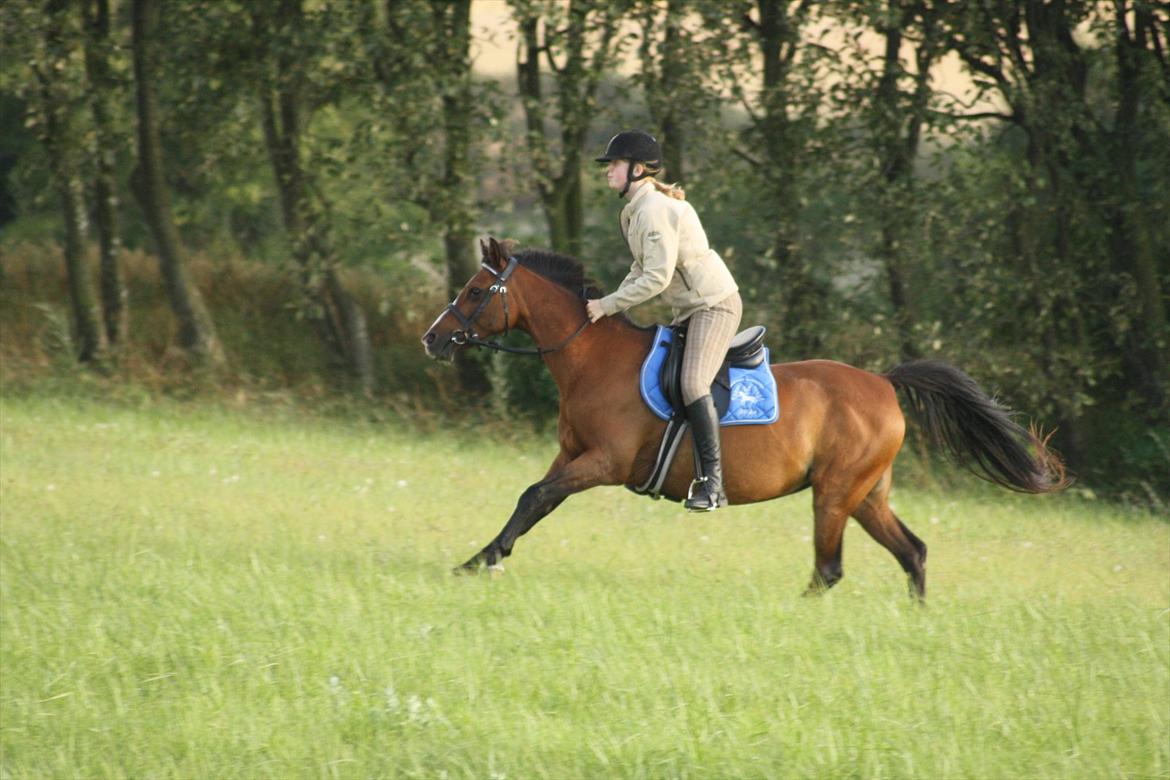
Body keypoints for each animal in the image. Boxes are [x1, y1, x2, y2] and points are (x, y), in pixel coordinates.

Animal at [423, 238, 1071, 598]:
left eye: (476, 290)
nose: (432, 339)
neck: (590, 356)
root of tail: (885, 384)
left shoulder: (604, 463)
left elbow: (534, 496)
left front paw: (480, 561)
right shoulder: (572, 456)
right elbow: (534, 501)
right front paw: (482, 559)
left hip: (835, 493)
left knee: (830, 567)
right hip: (865, 493)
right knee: (912, 551)